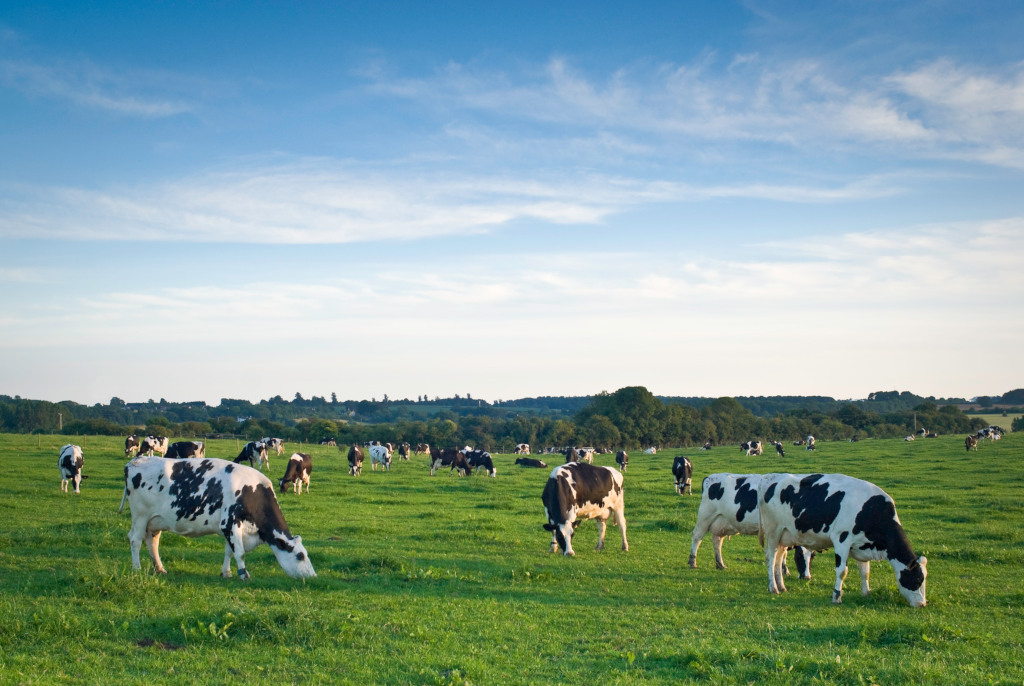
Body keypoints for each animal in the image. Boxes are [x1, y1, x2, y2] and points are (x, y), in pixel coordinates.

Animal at [118, 456, 315, 581]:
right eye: (300, 556)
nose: (313, 576)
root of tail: (135, 461)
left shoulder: (231, 528)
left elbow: (229, 551)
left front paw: (226, 573)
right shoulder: (230, 523)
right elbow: (239, 552)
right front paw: (243, 574)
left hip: (155, 521)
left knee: (152, 542)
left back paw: (159, 568)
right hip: (140, 516)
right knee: (135, 540)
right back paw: (137, 568)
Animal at [753, 473, 929, 606]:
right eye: (917, 579)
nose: (922, 604)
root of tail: (770, 479)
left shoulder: (862, 545)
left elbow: (865, 572)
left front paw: (866, 592)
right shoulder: (842, 540)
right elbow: (842, 571)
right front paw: (836, 596)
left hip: (784, 536)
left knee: (778, 560)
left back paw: (781, 586)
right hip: (773, 532)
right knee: (770, 559)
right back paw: (773, 587)